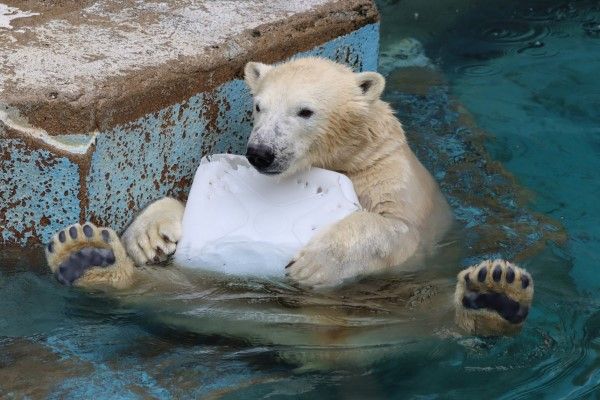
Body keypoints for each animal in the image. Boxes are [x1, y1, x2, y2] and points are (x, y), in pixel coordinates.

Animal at [44, 56, 532, 338]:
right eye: (259, 105)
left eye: (305, 111)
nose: (260, 152)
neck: (347, 157)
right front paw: (150, 235)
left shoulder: (391, 178)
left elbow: (396, 229)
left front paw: (313, 261)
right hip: (228, 301)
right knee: (187, 299)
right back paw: (90, 259)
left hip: (410, 300)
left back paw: (493, 297)